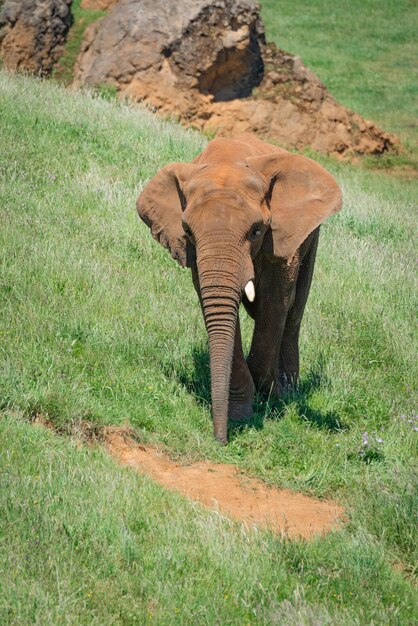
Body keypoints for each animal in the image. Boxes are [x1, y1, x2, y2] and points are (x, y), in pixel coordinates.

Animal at [136, 133, 342, 444]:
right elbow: (214, 303)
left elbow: (275, 300)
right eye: (187, 232)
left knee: (294, 311)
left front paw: (271, 398)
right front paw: (241, 413)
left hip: (311, 235)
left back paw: (289, 390)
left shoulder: (282, 235)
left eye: (256, 230)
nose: (219, 440)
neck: (227, 161)